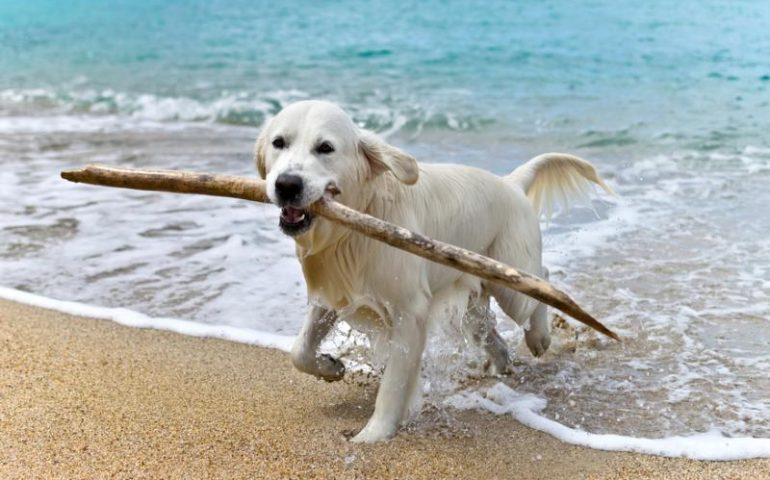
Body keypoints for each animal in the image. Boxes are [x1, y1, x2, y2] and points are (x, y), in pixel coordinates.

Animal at [255, 101, 608, 442]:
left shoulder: (409, 311)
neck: (355, 226)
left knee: (541, 280)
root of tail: (512, 183)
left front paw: (373, 435)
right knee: (490, 329)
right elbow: (299, 350)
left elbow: (394, 384)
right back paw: (500, 362)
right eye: (278, 142)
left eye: (325, 147)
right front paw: (331, 367)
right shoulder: (336, 291)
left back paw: (539, 336)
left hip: (511, 282)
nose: (286, 184)